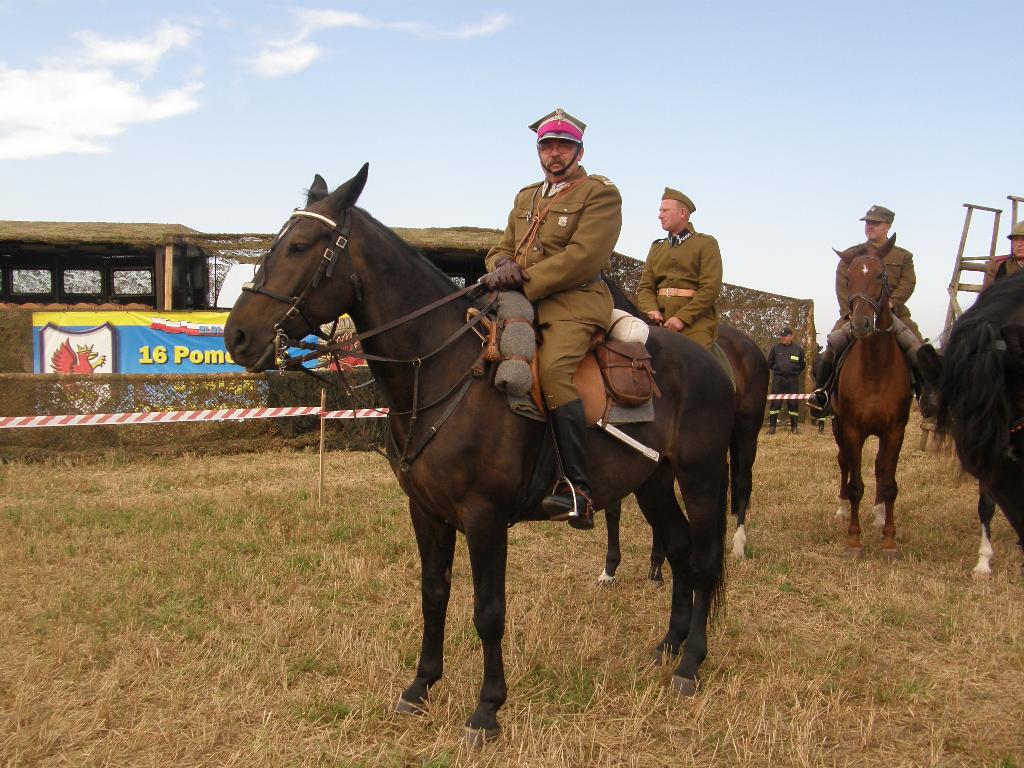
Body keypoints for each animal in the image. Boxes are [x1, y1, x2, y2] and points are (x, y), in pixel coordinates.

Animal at [831, 234, 913, 561]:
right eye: (848, 278)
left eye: (880, 275)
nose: (860, 325)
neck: (876, 365)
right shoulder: (852, 429)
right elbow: (855, 484)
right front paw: (854, 541)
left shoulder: (895, 431)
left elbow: (889, 484)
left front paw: (889, 541)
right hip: (837, 426)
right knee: (843, 462)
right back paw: (842, 510)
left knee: (880, 468)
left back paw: (879, 514)